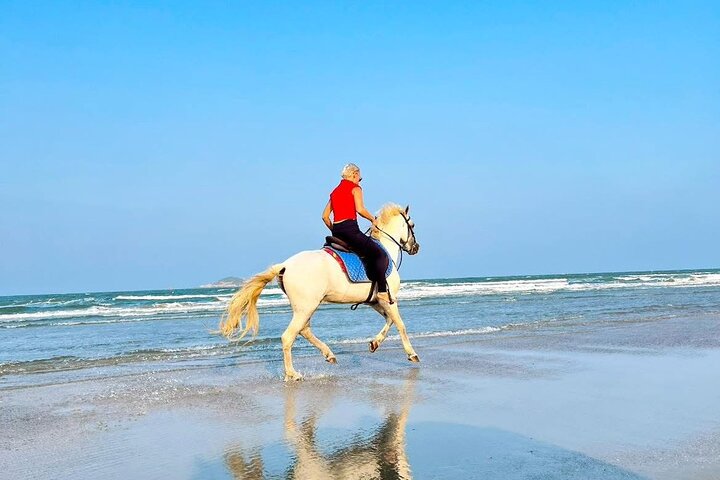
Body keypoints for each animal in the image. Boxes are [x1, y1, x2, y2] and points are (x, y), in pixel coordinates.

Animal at [219, 203, 420, 381]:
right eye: (411, 225)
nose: (415, 248)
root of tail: (285, 265)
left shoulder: (375, 301)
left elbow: (389, 321)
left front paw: (374, 343)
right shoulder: (387, 299)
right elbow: (400, 324)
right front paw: (412, 354)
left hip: (307, 307)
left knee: (304, 330)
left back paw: (328, 354)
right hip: (306, 307)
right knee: (289, 336)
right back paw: (292, 374)